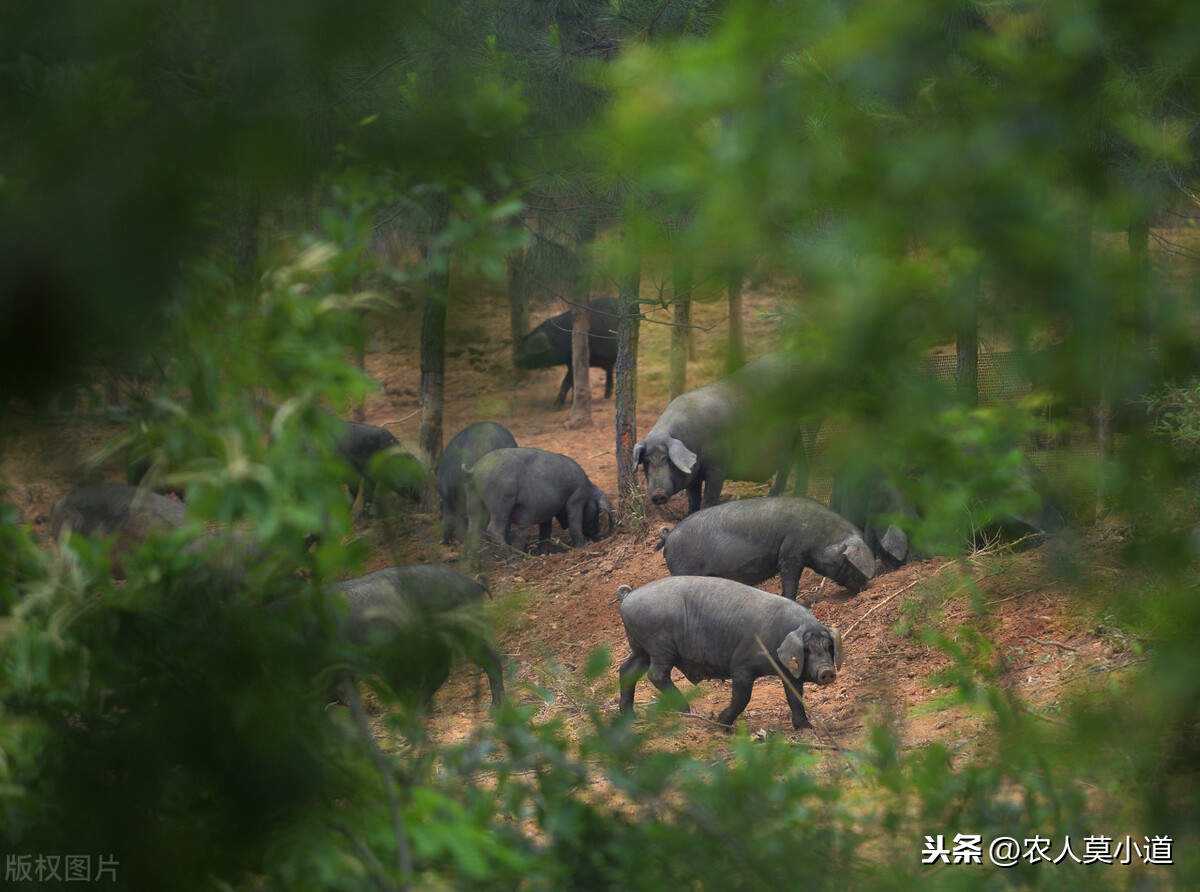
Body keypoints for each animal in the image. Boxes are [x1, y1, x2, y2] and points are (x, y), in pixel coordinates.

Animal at [619, 578, 844, 734]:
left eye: (828, 647)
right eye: (807, 650)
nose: (827, 671)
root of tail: (627, 598)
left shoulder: (788, 671)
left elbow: (795, 697)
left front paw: (807, 728)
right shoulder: (741, 666)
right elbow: (743, 697)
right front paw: (721, 725)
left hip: (641, 648)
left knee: (627, 670)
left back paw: (629, 716)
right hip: (659, 644)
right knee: (656, 675)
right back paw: (687, 711)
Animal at [662, 499, 878, 602]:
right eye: (848, 561)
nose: (867, 585)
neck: (823, 536)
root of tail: (668, 536)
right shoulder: (792, 552)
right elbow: (790, 581)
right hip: (683, 568)